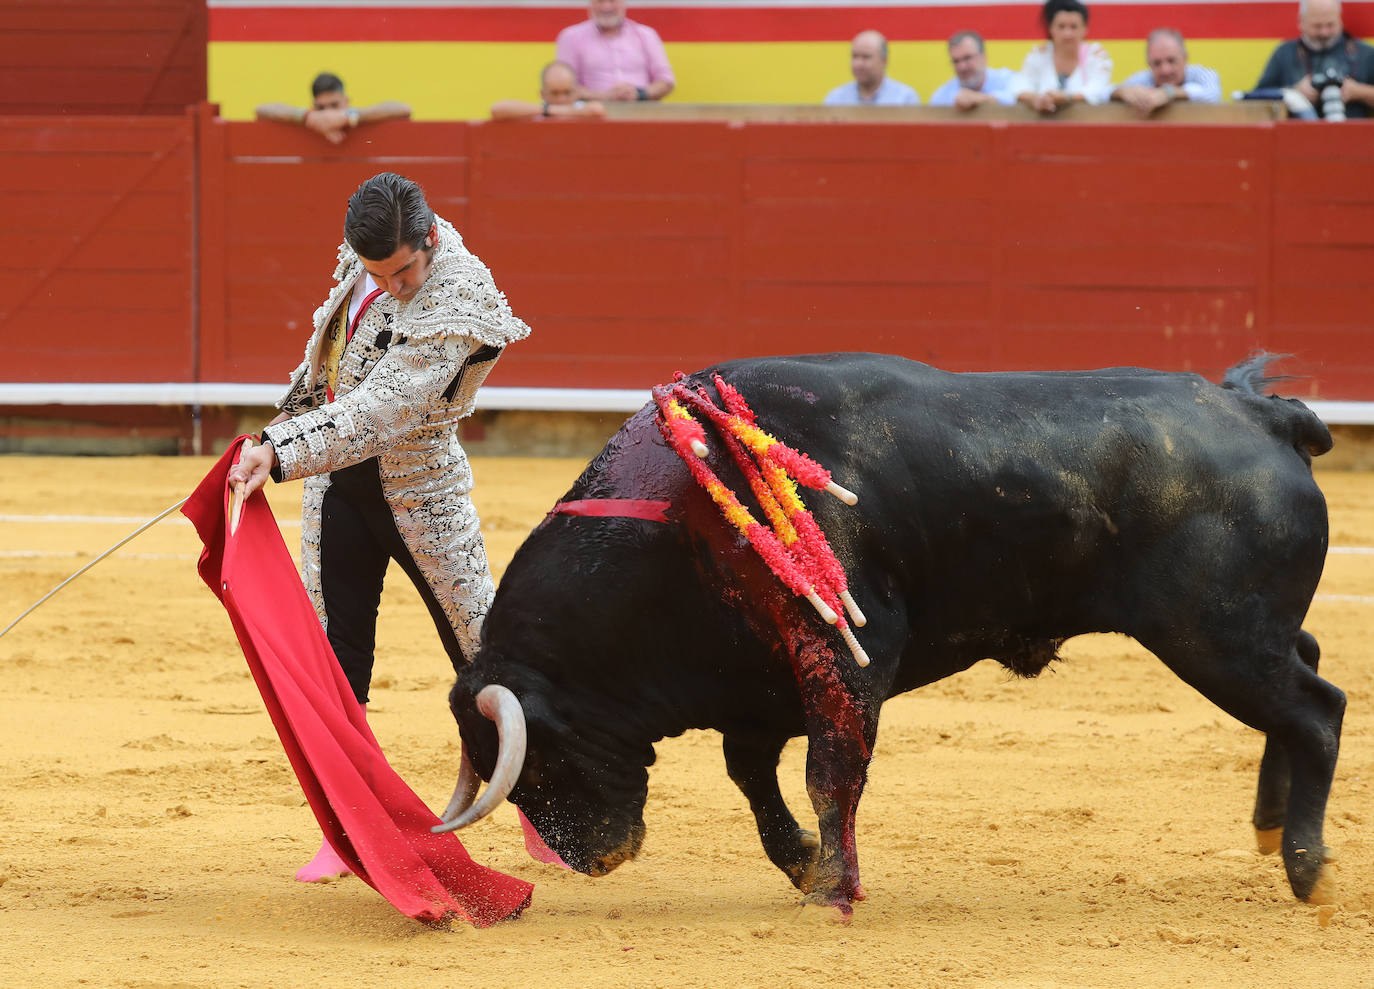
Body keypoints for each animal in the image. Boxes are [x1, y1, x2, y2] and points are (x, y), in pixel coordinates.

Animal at [431, 354, 1341, 912]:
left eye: (539, 756)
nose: (590, 858)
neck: (683, 514)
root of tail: (1261, 414)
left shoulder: (842, 662)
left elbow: (830, 772)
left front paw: (833, 888)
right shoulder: (759, 680)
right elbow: (754, 775)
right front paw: (804, 864)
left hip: (1214, 637)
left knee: (1318, 710)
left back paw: (1305, 866)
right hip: (1249, 635)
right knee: (1304, 677)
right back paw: (1269, 825)